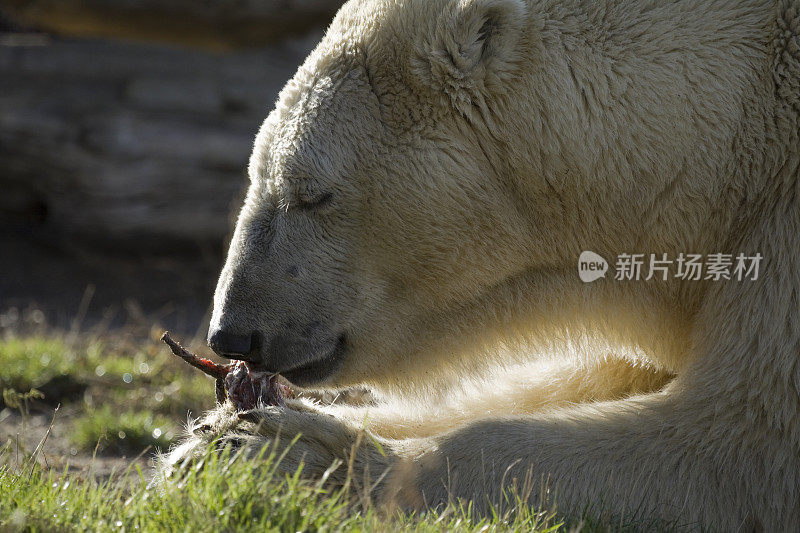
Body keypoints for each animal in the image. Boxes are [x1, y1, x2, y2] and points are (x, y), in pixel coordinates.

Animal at [162, 0, 800, 528]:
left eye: (312, 193)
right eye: (256, 173)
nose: (231, 332)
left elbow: (738, 447)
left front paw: (285, 455)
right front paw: (203, 440)